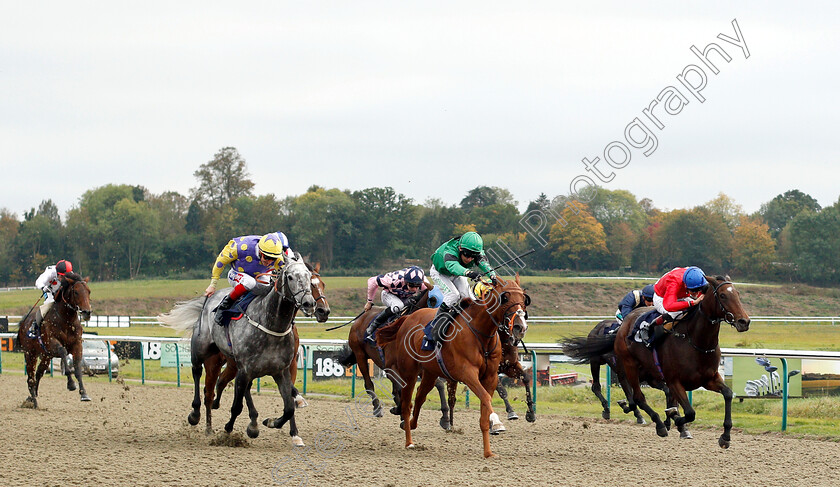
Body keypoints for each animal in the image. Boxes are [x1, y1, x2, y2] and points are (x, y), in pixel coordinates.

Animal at [17, 272, 92, 410]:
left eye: (89, 291)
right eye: (76, 292)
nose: (87, 312)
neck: (67, 320)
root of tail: (23, 323)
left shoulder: (77, 345)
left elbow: (78, 369)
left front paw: (84, 394)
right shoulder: (52, 343)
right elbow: (63, 353)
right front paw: (71, 384)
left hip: (46, 356)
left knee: (38, 373)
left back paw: (31, 397)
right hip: (30, 354)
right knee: (30, 378)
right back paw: (34, 402)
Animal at [161, 254, 316, 448]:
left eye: (309, 276)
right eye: (290, 277)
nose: (309, 303)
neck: (271, 325)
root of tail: (209, 299)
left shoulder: (281, 371)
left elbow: (288, 408)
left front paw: (271, 422)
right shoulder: (245, 370)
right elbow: (236, 406)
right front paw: (228, 431)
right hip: (202, 350)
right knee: (198, 375)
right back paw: (196, 415)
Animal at [334, 290, 456, 430]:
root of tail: (359, 318)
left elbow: (439, 384)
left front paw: (445, 418)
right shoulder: (391, 367)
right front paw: (399, 410)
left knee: (395, 388)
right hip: (360, 356)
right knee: (369, 383)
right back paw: (377, 408)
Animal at [378, 276, 528, 460]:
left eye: (524, 299)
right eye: (505, 298)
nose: (520, 327)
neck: (481, 334)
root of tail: (408, 317)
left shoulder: (491, 377)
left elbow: (484, 410)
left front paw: (488, 452)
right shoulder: (467, 374)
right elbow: (486, 397)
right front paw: (497, 421)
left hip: (430, 372)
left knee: (420, 396)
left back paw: (412, 424)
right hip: (409, 372)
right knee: (407, 404)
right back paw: (409, 442)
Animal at [564, 276, 748, 448]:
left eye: (738, 294)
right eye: (723, 295)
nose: (744, 321)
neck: (695, 342)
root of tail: (620, 328)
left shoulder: (709, 378)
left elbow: (728, 394)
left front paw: (725, 436)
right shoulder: (674, 381)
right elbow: (689, 412)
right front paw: (674, 419)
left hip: (646, 373)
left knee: (633, 395)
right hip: (616, 364)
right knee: (628, 394)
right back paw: (652, 421)